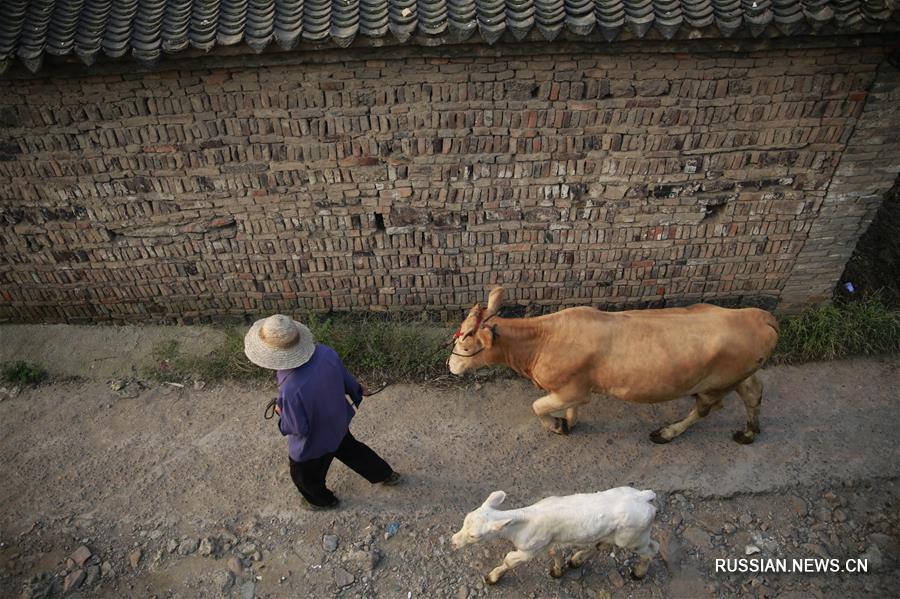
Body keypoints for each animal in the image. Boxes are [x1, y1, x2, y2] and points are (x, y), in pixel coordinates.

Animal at [450, 286, 780, 446]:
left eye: (465, 346)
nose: (450, 365)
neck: (543, 339)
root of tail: (757, 315)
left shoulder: (572, 389)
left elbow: (538, 407)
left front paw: (556, 425)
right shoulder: (573, 389)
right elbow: (569, 410)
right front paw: (569, 423)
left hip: (717, 384)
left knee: (705, 409)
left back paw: (667, 433)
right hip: (740, 376)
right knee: (754, 392)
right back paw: (750, 433)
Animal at [454, 490, 656, 584]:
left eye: (474, 535)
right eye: (464, 520)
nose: (453, 542)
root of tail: (645, 497)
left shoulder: (529, 550)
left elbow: (509, 560)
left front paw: (492, 578)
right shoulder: (546, 542)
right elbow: (554, 553)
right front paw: (558, 570)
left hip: (634, 538)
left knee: (653, 549)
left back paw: (639, 573)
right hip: (615, 534)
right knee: (602, 545)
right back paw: (577, 560)